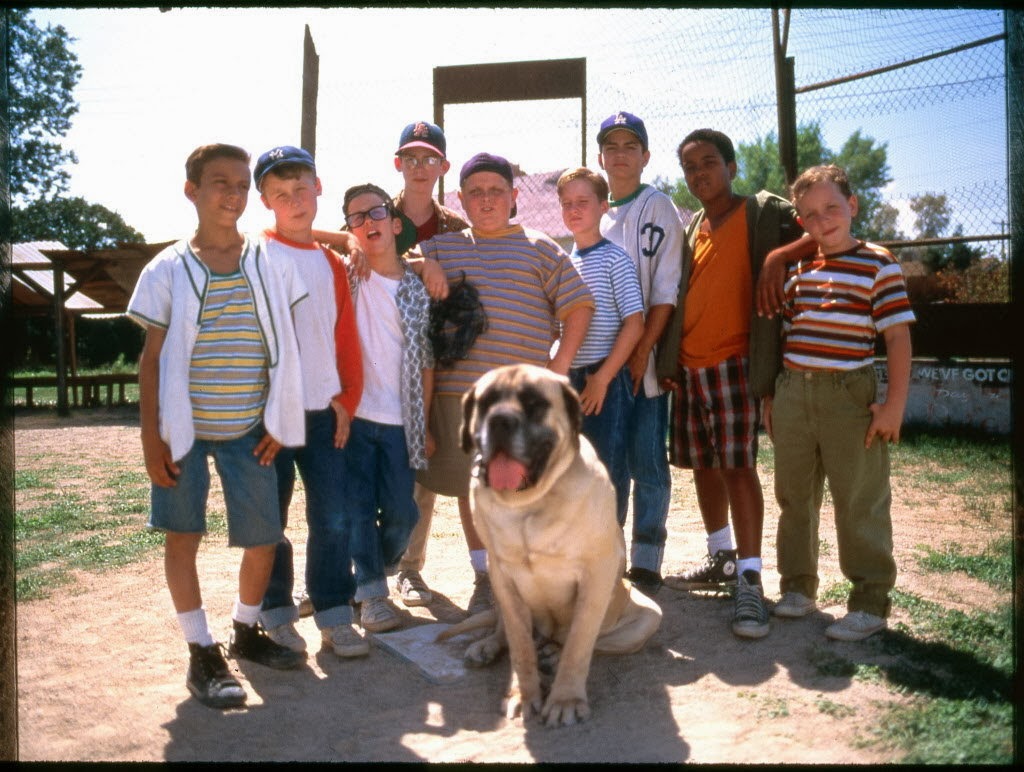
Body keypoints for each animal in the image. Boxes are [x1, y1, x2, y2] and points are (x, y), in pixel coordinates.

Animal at [438, 363, 662, 727]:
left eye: (534, 402)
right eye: (485, 403)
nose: (500, 420)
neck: (529, 503)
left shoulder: (597, 574)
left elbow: (579, 645)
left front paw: (566, 699)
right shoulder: (502, 576)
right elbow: (519, 646)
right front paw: (522, 694)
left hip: (648, 615)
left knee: (586, 641)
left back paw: (552, 653)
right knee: (506, 630)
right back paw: (488, 646)